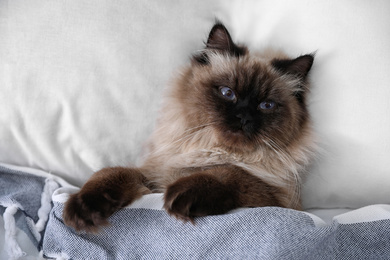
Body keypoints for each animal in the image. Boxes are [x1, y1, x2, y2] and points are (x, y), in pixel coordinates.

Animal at [63, 22, 314, 233]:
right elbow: (110, 172)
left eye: (266, 105)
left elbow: (232, 173)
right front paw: (84, 208)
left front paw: (182, 196)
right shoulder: (155, 176)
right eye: (227, 93)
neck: (210, 150)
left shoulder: (278, 199)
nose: (243, 117)